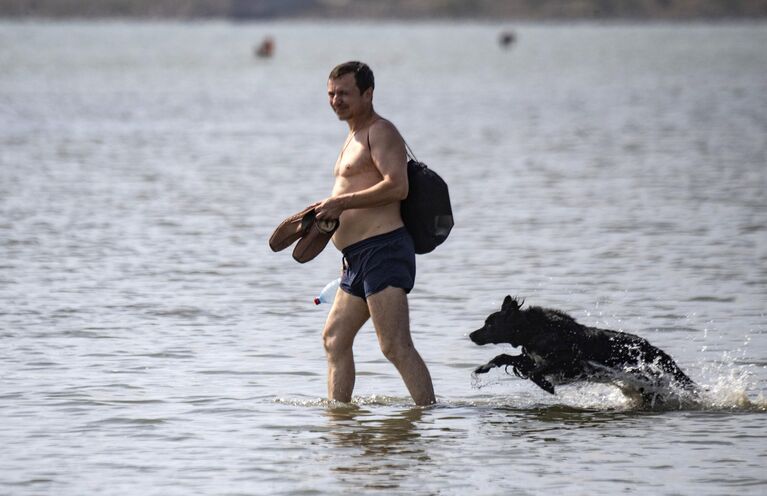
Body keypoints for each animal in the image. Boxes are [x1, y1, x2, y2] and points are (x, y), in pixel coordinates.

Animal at [472, 296, 700, 404]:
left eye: (490, 324)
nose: (471, 335)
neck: (534, 329)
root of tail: (656, 351)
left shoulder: (569, 363)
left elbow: (535, 372)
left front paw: (547, 385)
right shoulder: (533, 358)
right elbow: (506, 357)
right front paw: (484, 367)